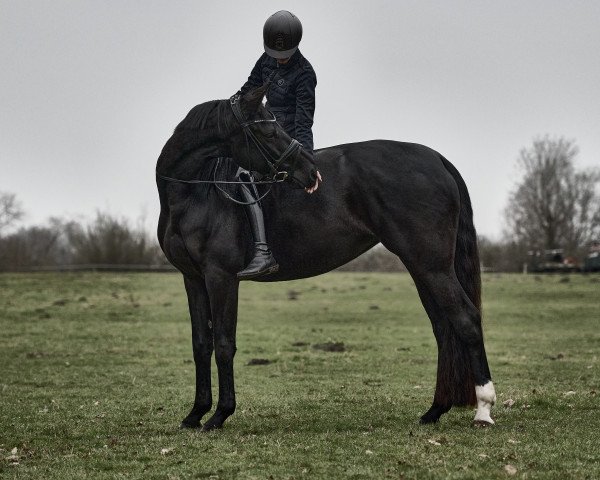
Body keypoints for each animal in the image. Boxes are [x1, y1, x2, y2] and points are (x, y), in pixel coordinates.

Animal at [156, 83, 496, 432]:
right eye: (267, 129)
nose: (310, 172)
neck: (196, 193)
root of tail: (437, 159)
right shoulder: (193, 277)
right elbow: (201, 343)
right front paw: (195, 413)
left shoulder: (221, 277)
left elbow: (224, 343)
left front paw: (220, 414)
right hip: (421, 268)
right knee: (444, 329)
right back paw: (435, 410)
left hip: (433, 267)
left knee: (467, 320)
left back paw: (483, 410)